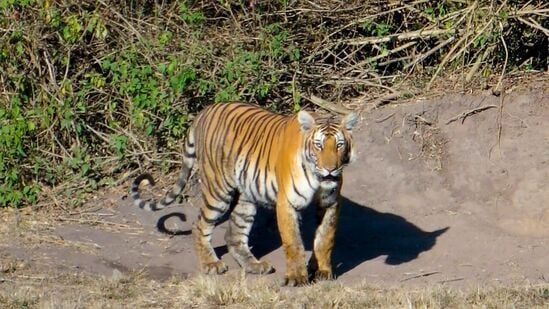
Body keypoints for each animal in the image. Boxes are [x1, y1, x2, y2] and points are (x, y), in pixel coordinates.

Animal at [131, 102, 358, 286]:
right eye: (318, 145)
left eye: (339, 145)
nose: (330, 169)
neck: (318, 178)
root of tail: (203, 112)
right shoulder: (287, 203)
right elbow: (293, 242)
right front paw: (296, 277)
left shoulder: (330, 202)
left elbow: (325, 239)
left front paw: (322, 272)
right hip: (218, 191)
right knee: (199, 225)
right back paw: (211, 264)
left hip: (246, 198)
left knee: (233, 235)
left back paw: (254, 266)